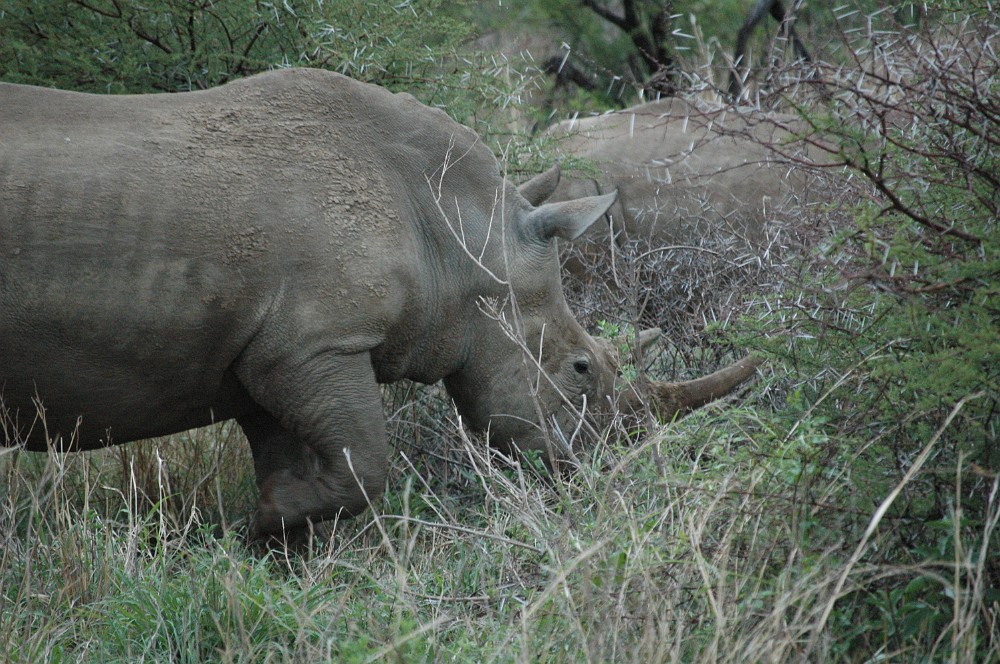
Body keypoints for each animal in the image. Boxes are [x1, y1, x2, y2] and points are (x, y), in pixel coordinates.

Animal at [0, 68, 758, 537]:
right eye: (581, 371)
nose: (594, 476)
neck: (461, 237)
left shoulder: (265, 354)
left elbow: (296, 458)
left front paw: (275, 532)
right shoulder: (315, 343)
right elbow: (366, 462)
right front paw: (264, 522)